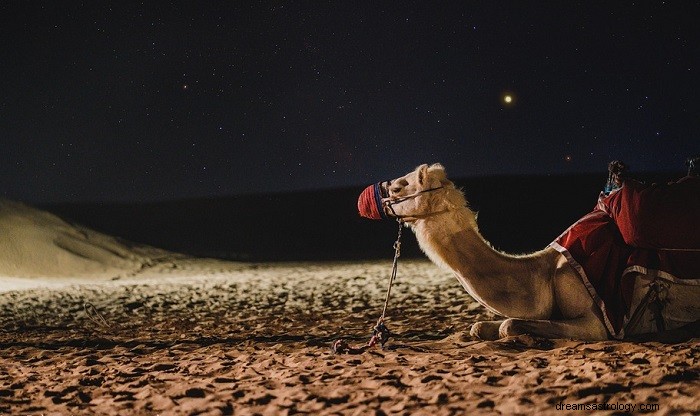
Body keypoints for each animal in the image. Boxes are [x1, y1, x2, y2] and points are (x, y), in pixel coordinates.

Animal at [358, 163, 700, 341]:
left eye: (400, 186)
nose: (366, 198)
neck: (543, 274)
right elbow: (480, 326)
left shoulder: (601, 321)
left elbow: (509, 324)